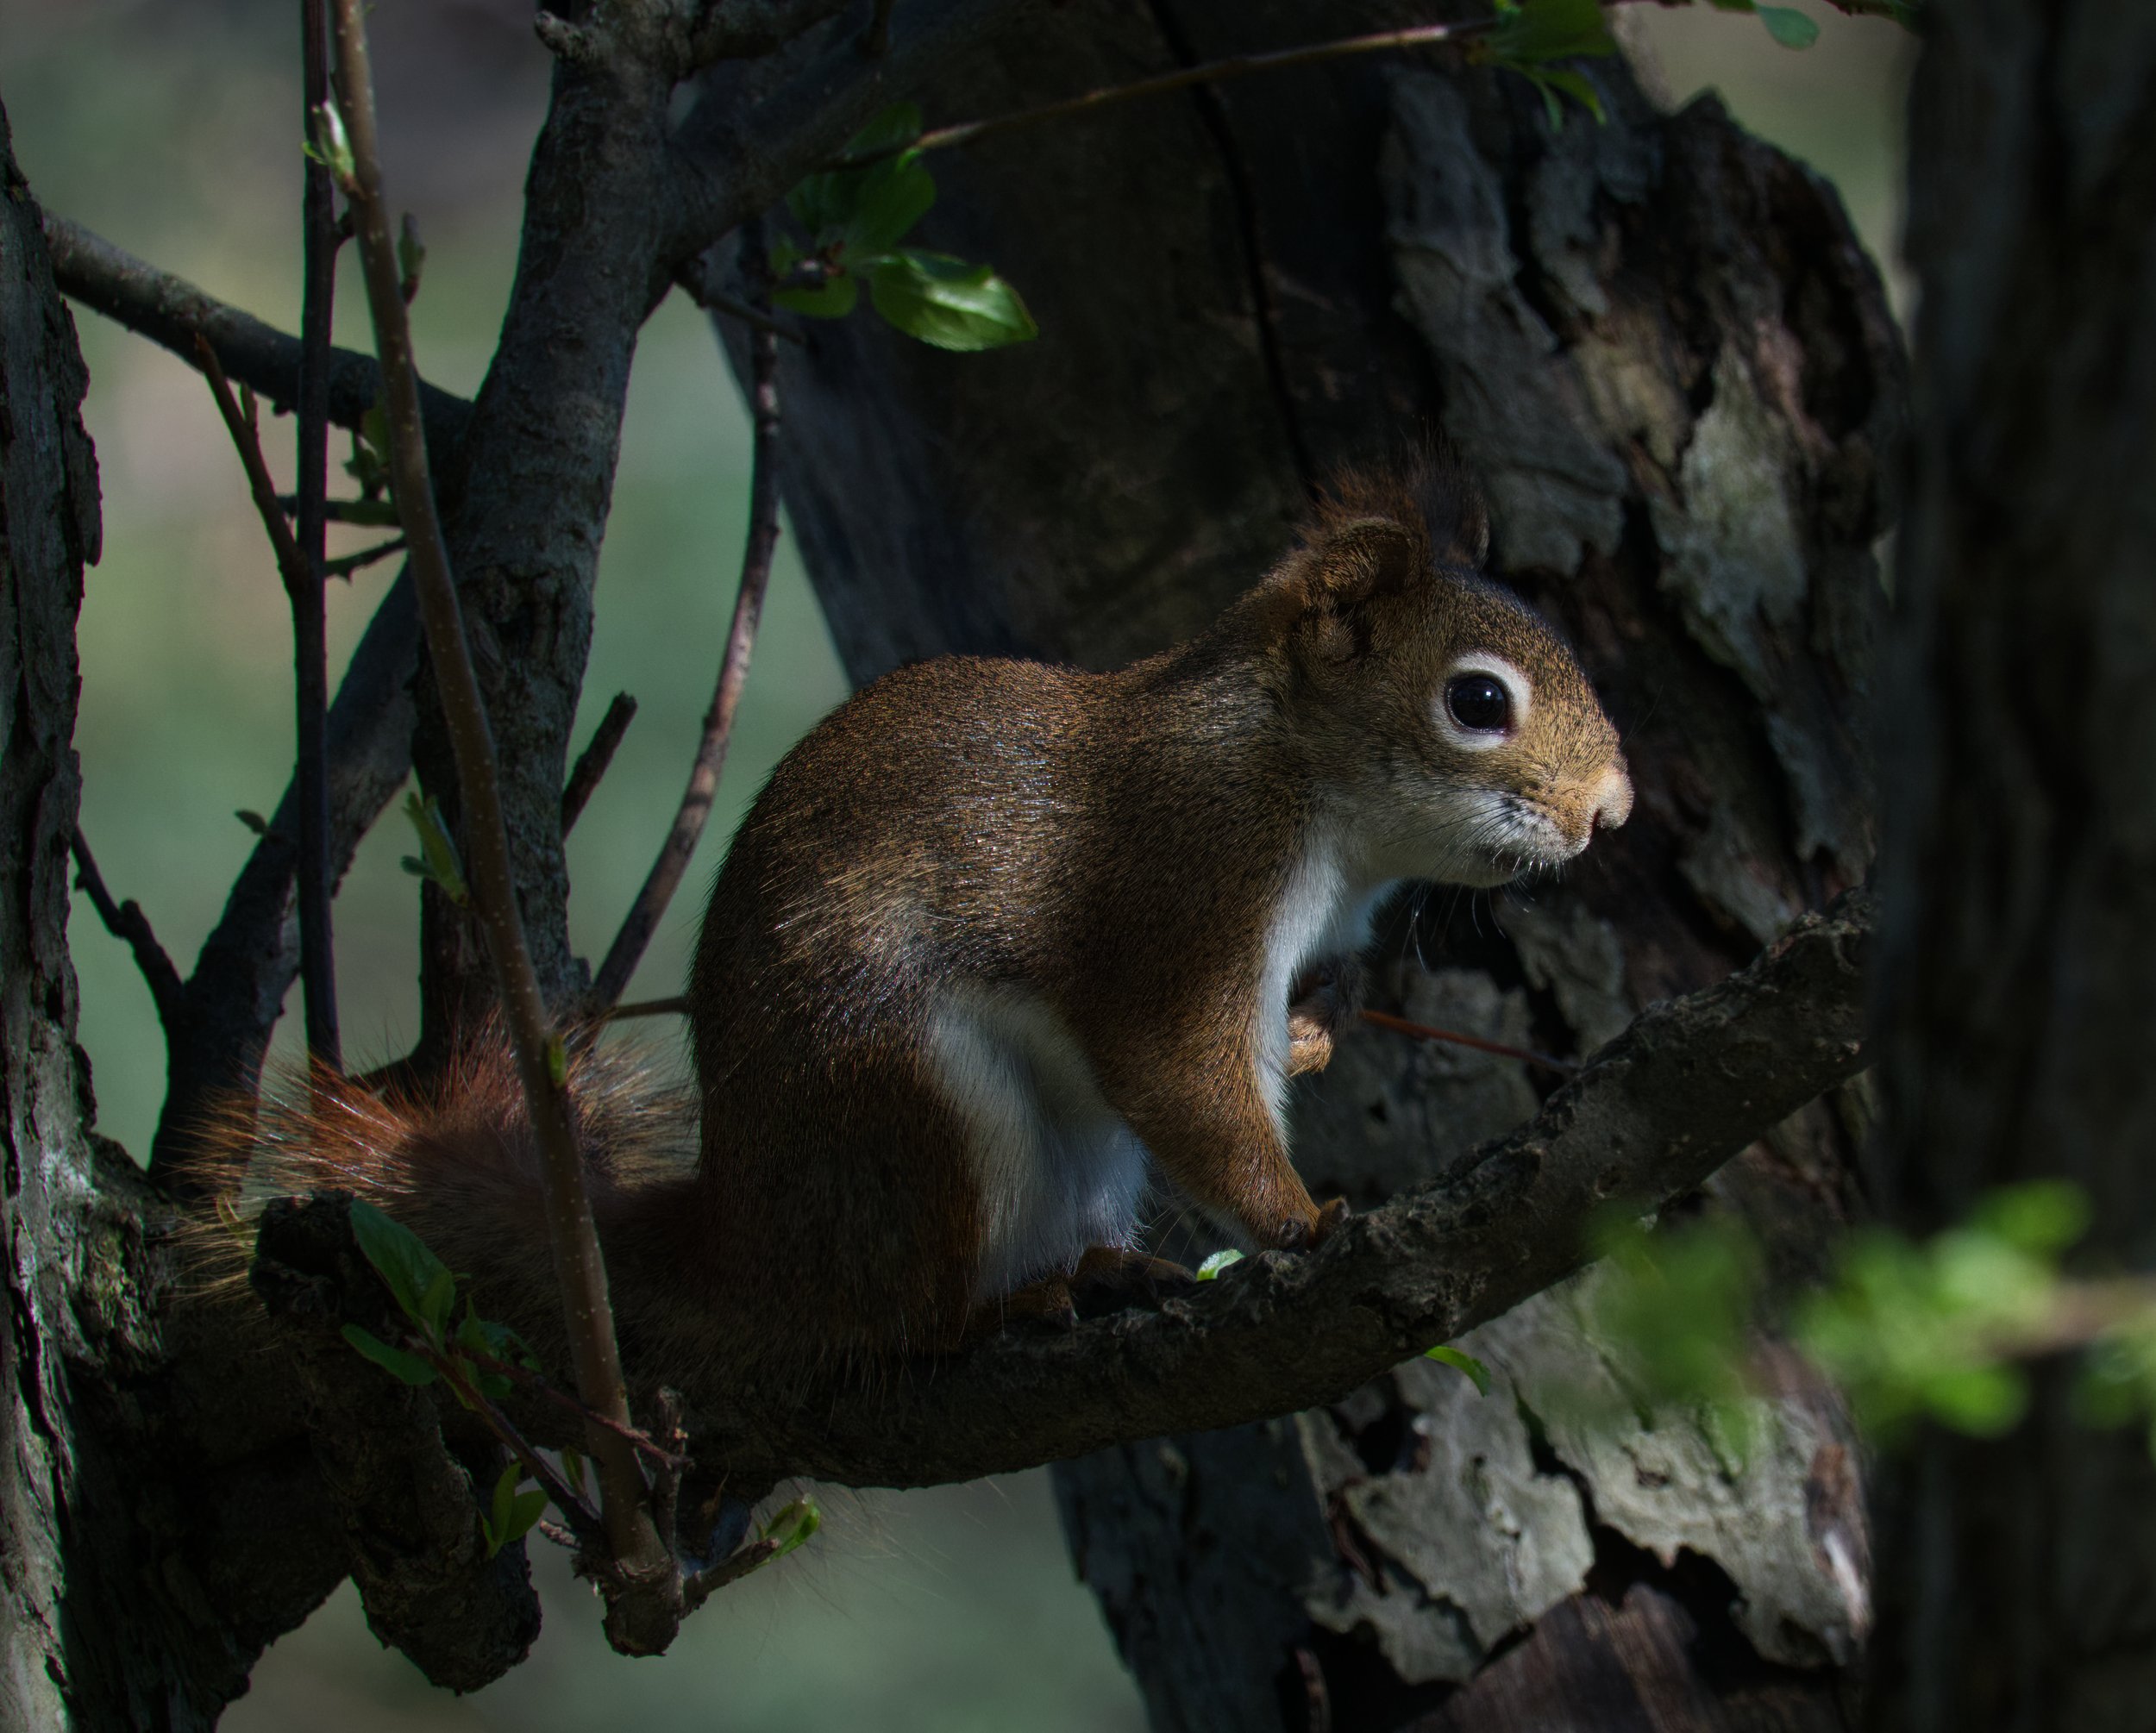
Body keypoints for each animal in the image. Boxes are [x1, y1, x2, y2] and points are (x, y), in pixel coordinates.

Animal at [206, 457, 1632, 1394]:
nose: (1612, 810)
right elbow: (1180, 1074)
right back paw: (1011, 1304)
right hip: (908, 1097)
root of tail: (756, 1247)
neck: (1305, 785)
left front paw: (1320, 1034)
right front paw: (1303, 1221)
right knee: (908, 1316)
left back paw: (1104, 1273)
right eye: (1478, 700)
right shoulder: (1184, 886)